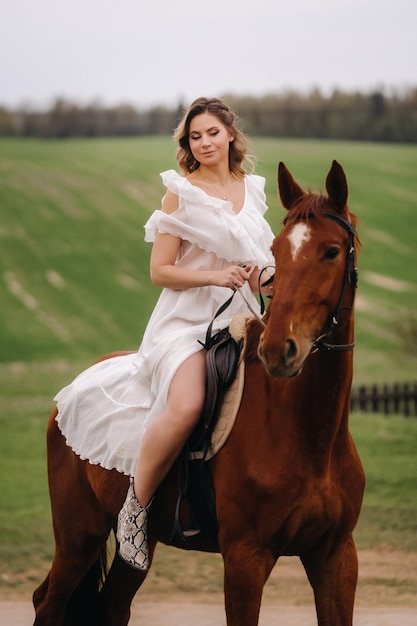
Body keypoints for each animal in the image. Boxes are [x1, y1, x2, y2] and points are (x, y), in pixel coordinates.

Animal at [32, 162, 364, 624]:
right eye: (276, 252)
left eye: (331, 252)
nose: (278, 349)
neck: (309, 436)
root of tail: (68, 393)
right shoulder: (245, 560)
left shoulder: (335, 558)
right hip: (78, 536)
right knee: (47, 602)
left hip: (134, 548)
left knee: (112, 607)